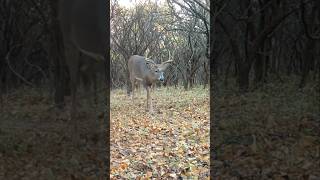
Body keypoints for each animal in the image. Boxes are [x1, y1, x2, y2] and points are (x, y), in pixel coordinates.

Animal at [58, 0, 107, 141]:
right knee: (74, 82)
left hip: (88, 53)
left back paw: (94, 129)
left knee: (86, 78)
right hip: (69, 40)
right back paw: (74, 132)